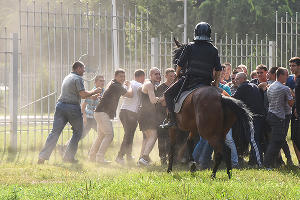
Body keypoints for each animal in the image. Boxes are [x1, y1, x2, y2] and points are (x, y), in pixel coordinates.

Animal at [168, 38, 254, 178]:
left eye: (176, 55)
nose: (176, 72)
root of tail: (221, 96)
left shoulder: (173, 128)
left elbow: (173, 146)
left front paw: (170, 169)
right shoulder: (193, 128)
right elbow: (189, 142)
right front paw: (192, 165)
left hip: (209, 133)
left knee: (222, 151)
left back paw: (214, 175)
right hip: (221, 131)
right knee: (225, 151)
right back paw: (226, 174)